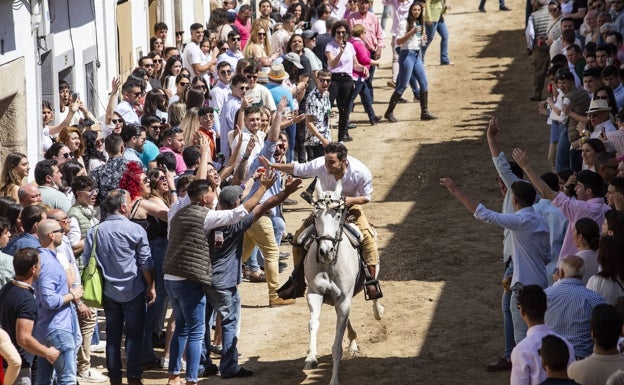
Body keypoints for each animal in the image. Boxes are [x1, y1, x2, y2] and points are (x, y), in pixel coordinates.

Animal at [304, 180, 380, 384]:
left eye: (338, 215)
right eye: (315, 216)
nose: (325, 251)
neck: (330, 264)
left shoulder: (344, 300)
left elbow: (336, 346)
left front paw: (334, 380)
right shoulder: (314, 294)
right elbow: (313, 323)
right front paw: (311, 357)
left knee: (374, 294)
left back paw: (378, 311)